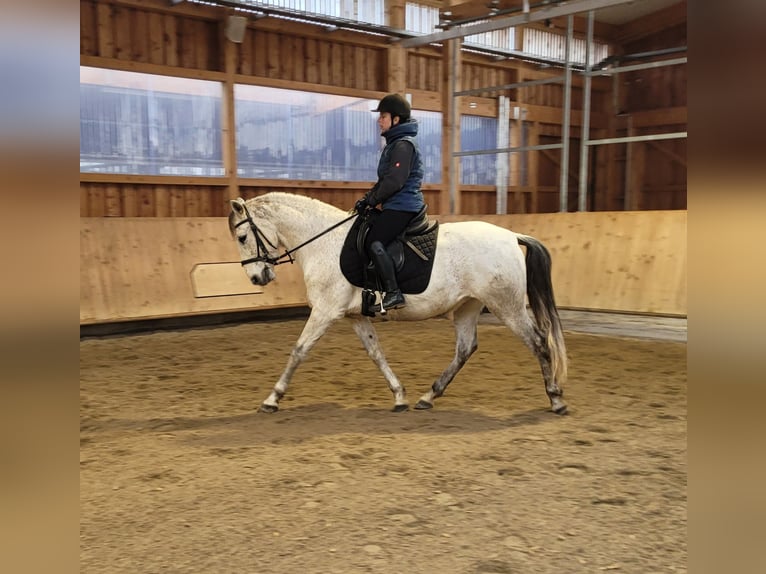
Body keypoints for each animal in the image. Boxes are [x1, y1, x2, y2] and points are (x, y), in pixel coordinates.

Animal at [228, 192, 568, 415]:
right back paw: (428, 396)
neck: (323, 242)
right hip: (468, 307)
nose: (257, 277)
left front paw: (272, 399)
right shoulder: (354, 316)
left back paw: (556, 399)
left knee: (539, 342)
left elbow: (299, 350)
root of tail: (511, 236)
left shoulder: (325, 311)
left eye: (243, 237)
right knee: (465, 349)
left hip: (507, 306)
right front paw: (399, 395)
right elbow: (376, 353)